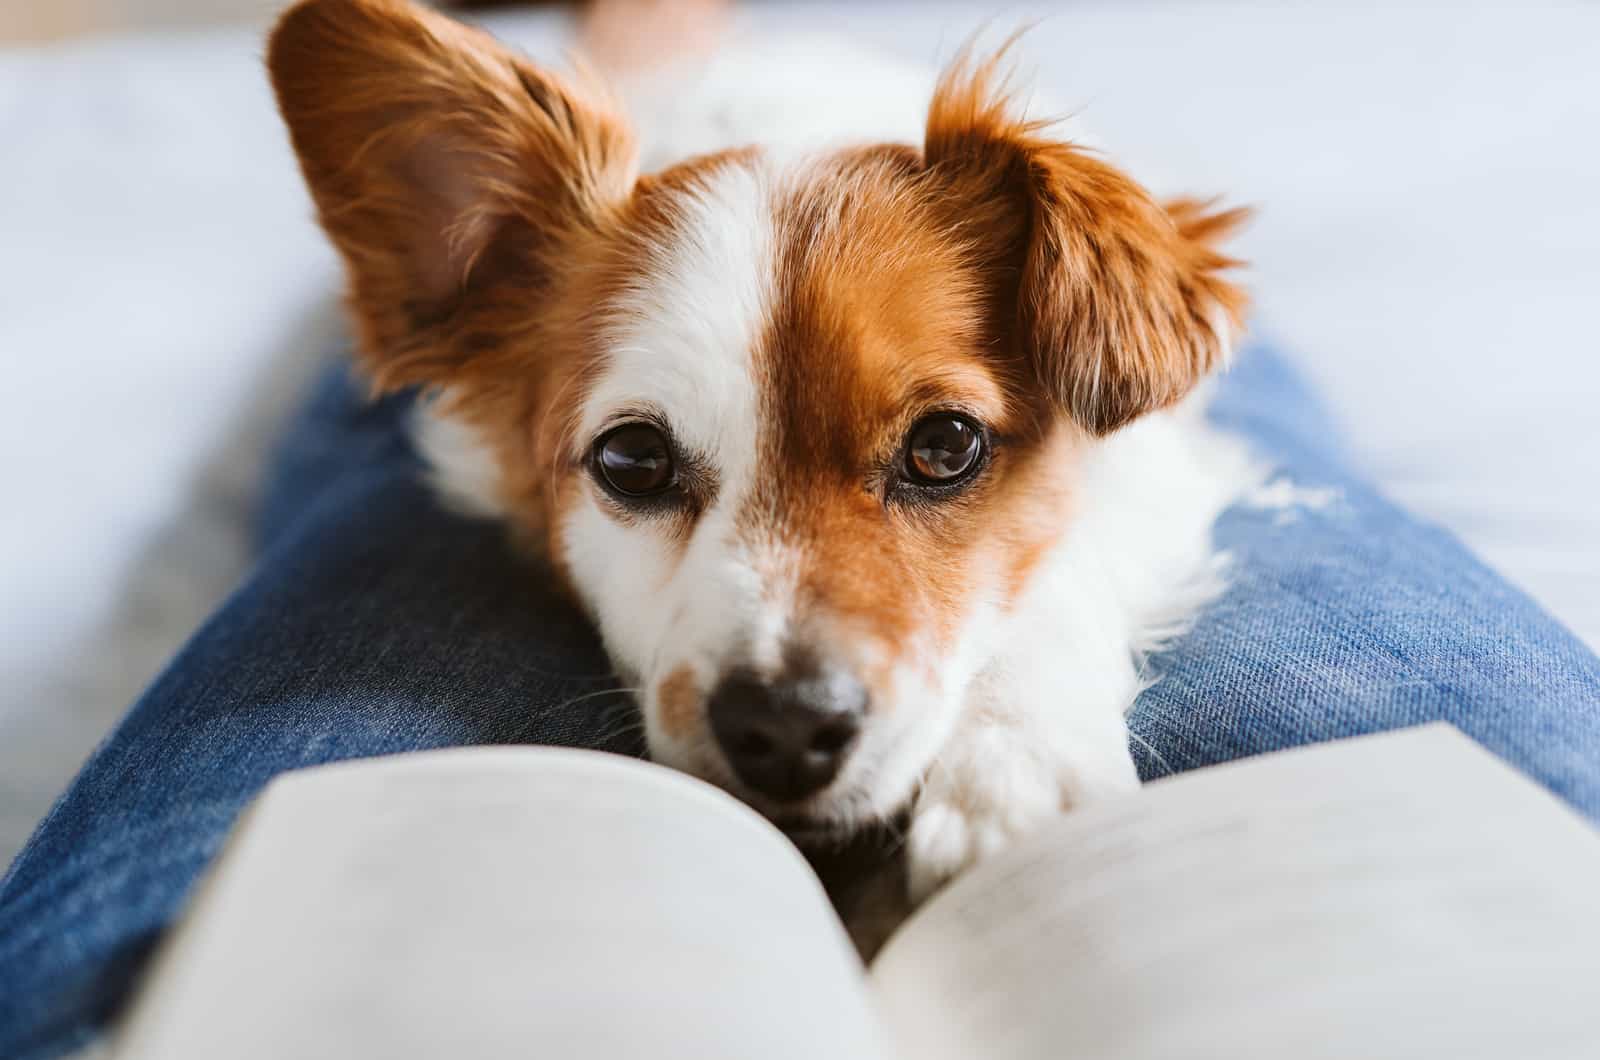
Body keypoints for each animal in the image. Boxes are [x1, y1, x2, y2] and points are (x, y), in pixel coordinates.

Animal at [268, 0, 1254, 903]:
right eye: (632, 461)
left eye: (945, 446)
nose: (785, 728)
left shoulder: (1163, 471)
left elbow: (1060, 577)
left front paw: (1015, 766)